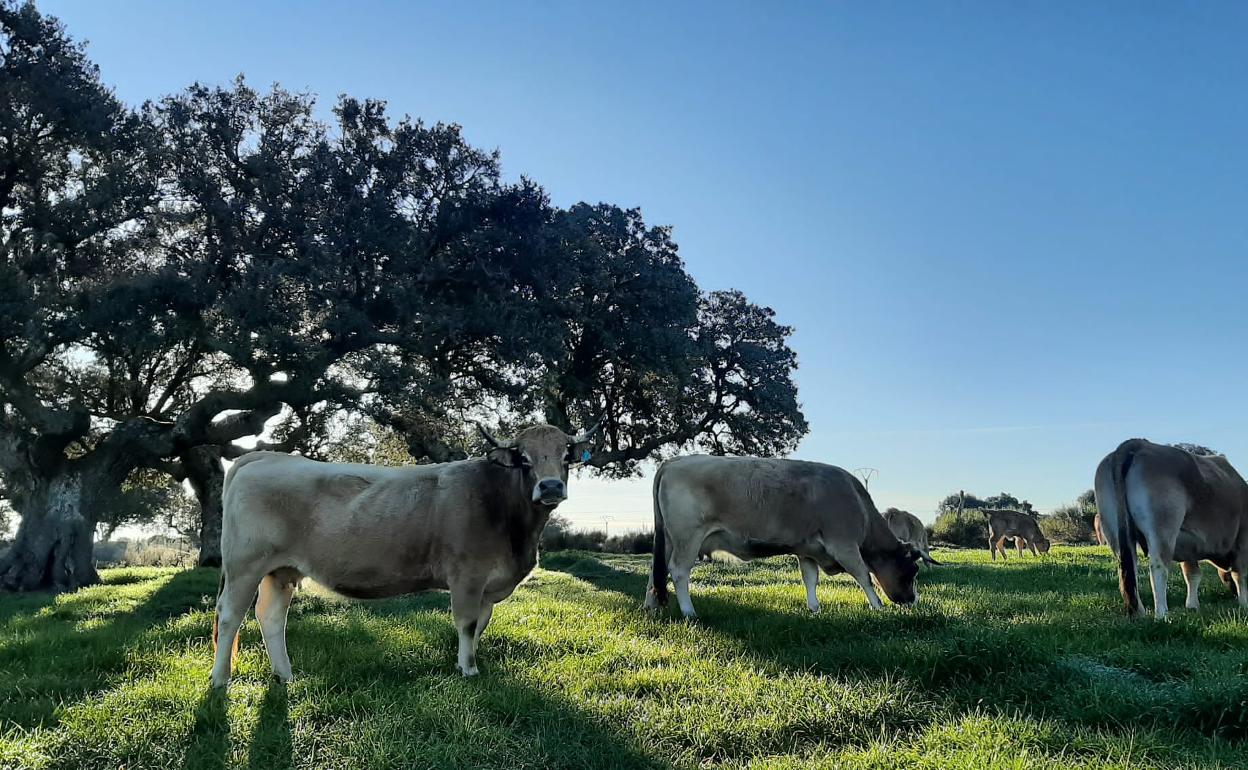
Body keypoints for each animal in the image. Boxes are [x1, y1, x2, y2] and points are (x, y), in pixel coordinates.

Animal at [209, 419, 599, 683]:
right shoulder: (467, 576)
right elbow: (467, 624)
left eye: (566, 456)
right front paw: (469, 671)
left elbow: (480, 626)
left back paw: (285, 675)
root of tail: (263, 456)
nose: (551, 486)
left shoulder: (488, 588)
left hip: (280, 570)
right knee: (230, 616)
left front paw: (467, 662)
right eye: (524, 458)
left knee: (271, 617)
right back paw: (220, 680)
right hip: (245, 565)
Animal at [643, 454, 928, 616]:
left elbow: (810, 579)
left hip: (668, 540)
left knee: (656, 572)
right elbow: (863, 576)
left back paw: (651, 607)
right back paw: (689, 612)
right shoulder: (844, 545)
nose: (912, 601)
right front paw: (877, 606)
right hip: (687, 538)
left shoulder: (808, 550)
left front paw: (814, 609)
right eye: (912, 571)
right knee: (678, 571)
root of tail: (674, 461)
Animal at [1093, 434, 1248, 616]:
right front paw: (1245, 604)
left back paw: (1139, 613)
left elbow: (1192, 574)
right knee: (1158, 567)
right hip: (1162, 527)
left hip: (1114, 529)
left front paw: (1192, 606)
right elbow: (1240, 574)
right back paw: (1161, 614)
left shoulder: (1190, 548)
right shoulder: (1242, 540)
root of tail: (1141, 444)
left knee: (1127, 567)